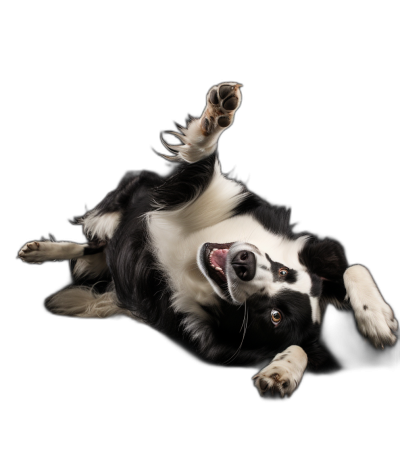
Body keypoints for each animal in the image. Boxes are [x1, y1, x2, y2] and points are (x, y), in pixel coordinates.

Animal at [18, 81, 396, 396]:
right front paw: (378, 317)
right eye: (284, 271)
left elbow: (303, 345)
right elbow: (203, 155)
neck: (191, 261)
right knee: (97, 239)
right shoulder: (201, 190)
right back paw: (40, 250)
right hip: (120, 204)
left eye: (275, 316)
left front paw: (283, 372)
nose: (245, 263)